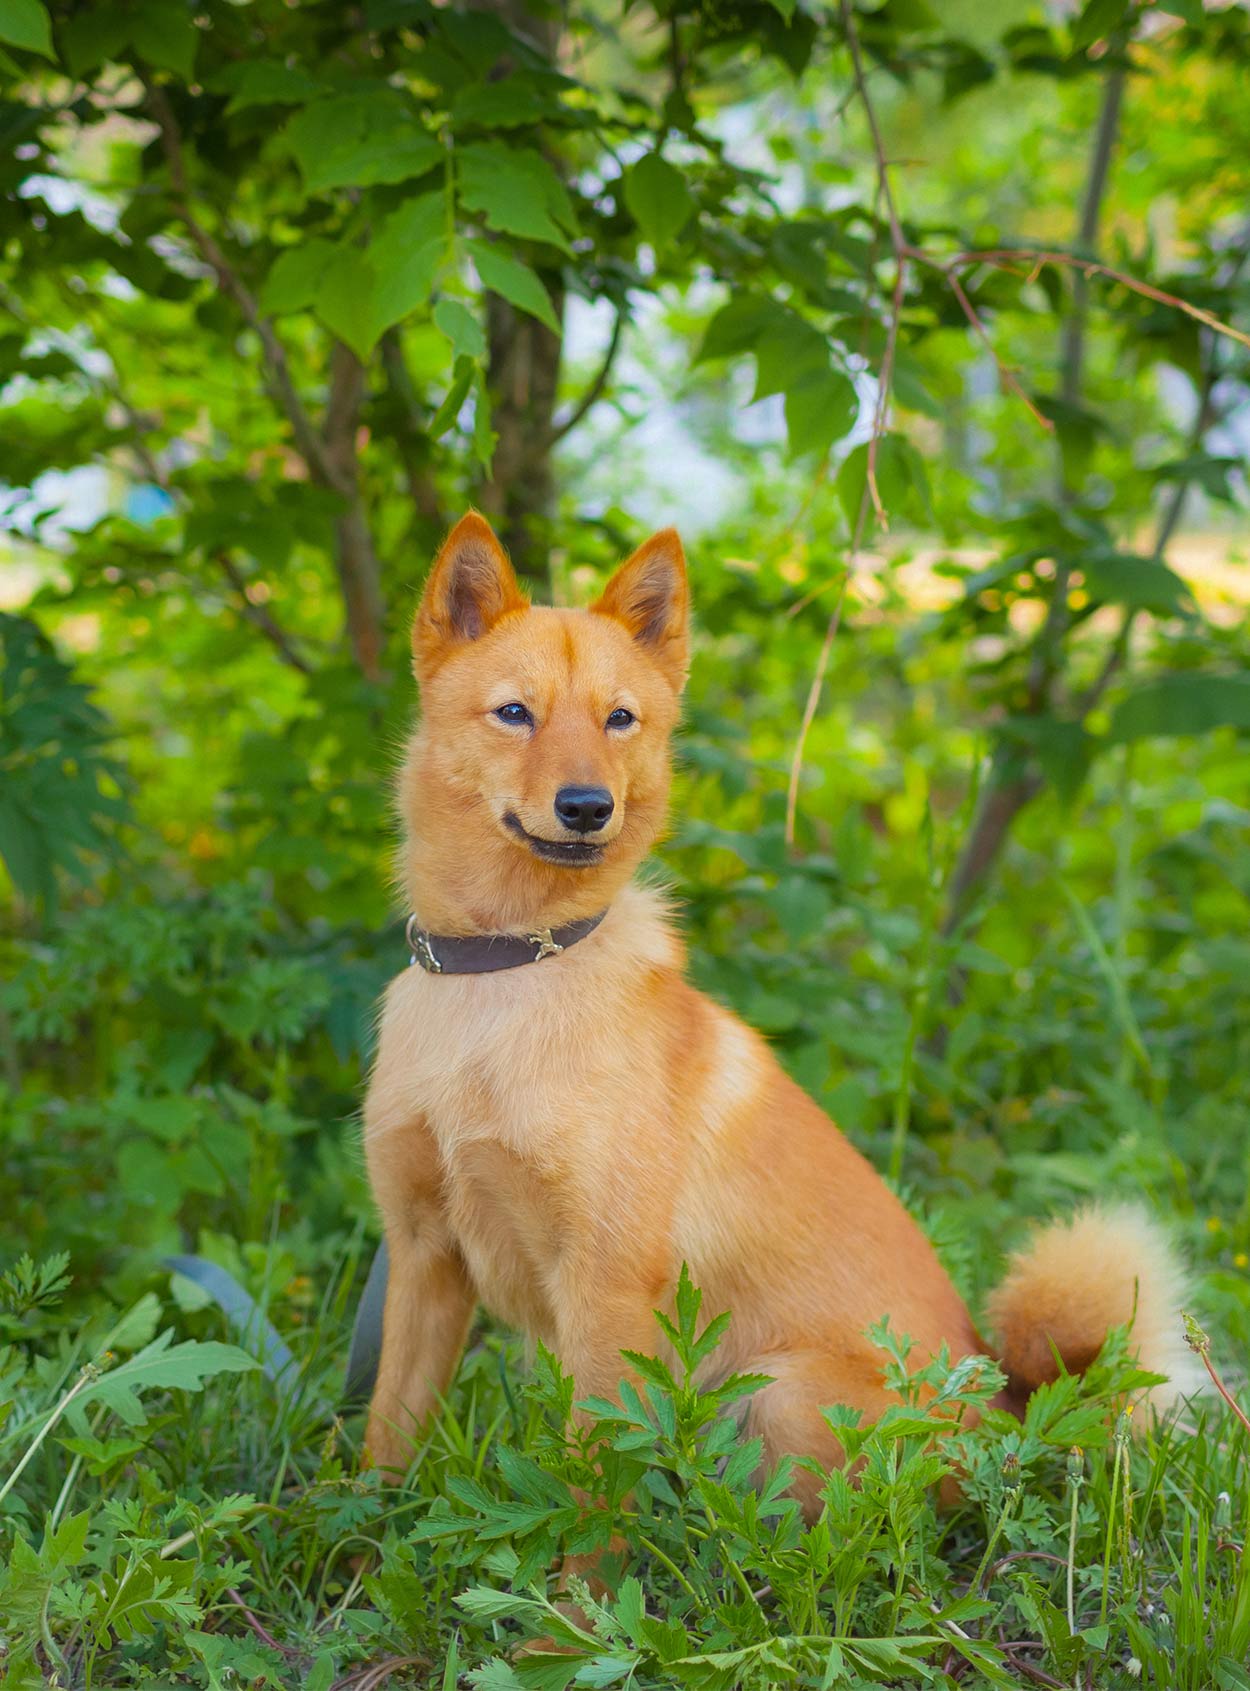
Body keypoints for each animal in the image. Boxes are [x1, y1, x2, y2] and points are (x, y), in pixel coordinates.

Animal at [363, 507, 1204, 1515]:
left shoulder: (606, 1291)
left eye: (619, 718)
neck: (510, 968)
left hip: (776, 1396)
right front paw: (348, 1532)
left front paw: (573, 1565)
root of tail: (1008, 1412)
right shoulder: (422, 1257)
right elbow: (385, 1432)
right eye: (515, 712)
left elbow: (591, 1496)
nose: (588, 806)